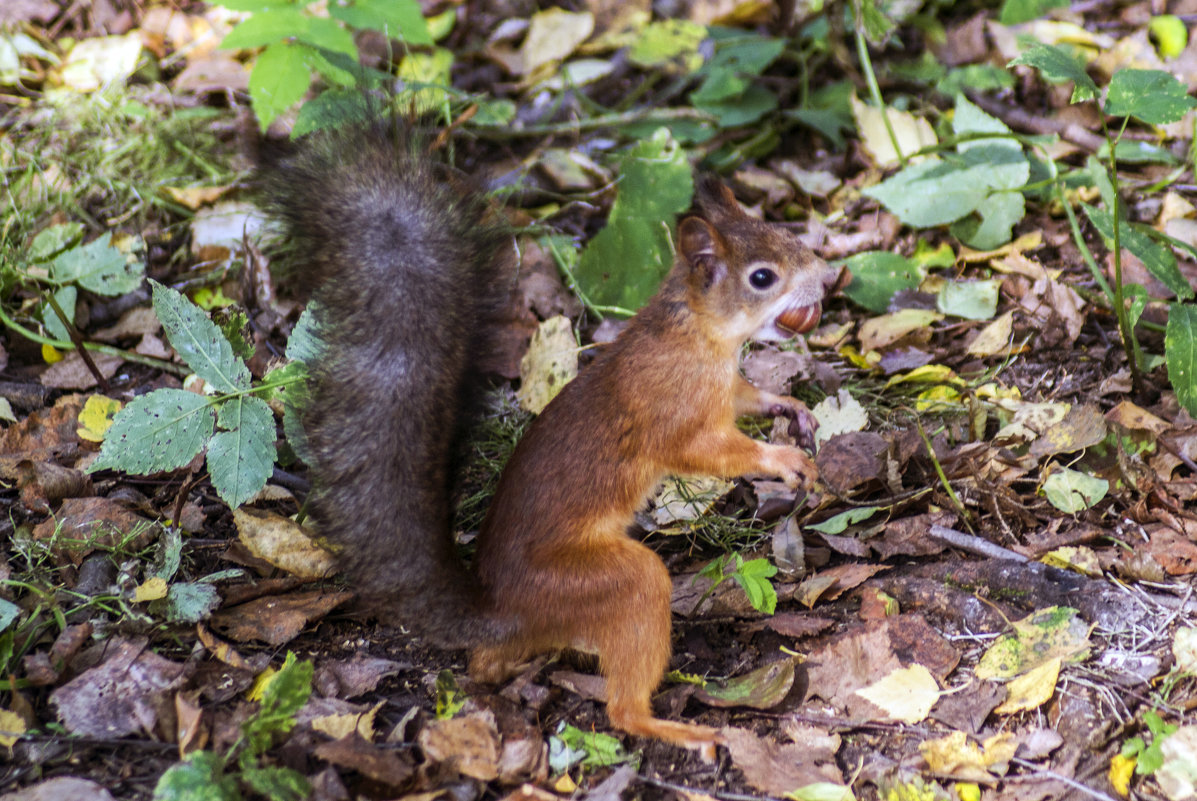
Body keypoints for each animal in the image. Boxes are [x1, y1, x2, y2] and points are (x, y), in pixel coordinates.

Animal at [262, 118, 842, 751]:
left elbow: (746, 396)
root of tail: (503, 610)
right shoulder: (674, 408)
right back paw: (674, 727)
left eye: (781, 232)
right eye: (762, 277)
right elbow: (703, 451)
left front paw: (789, 407)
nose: (827, 278)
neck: (695, 332)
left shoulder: (723, 388)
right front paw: (781, 458)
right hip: (596, 583)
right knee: (622, 701)